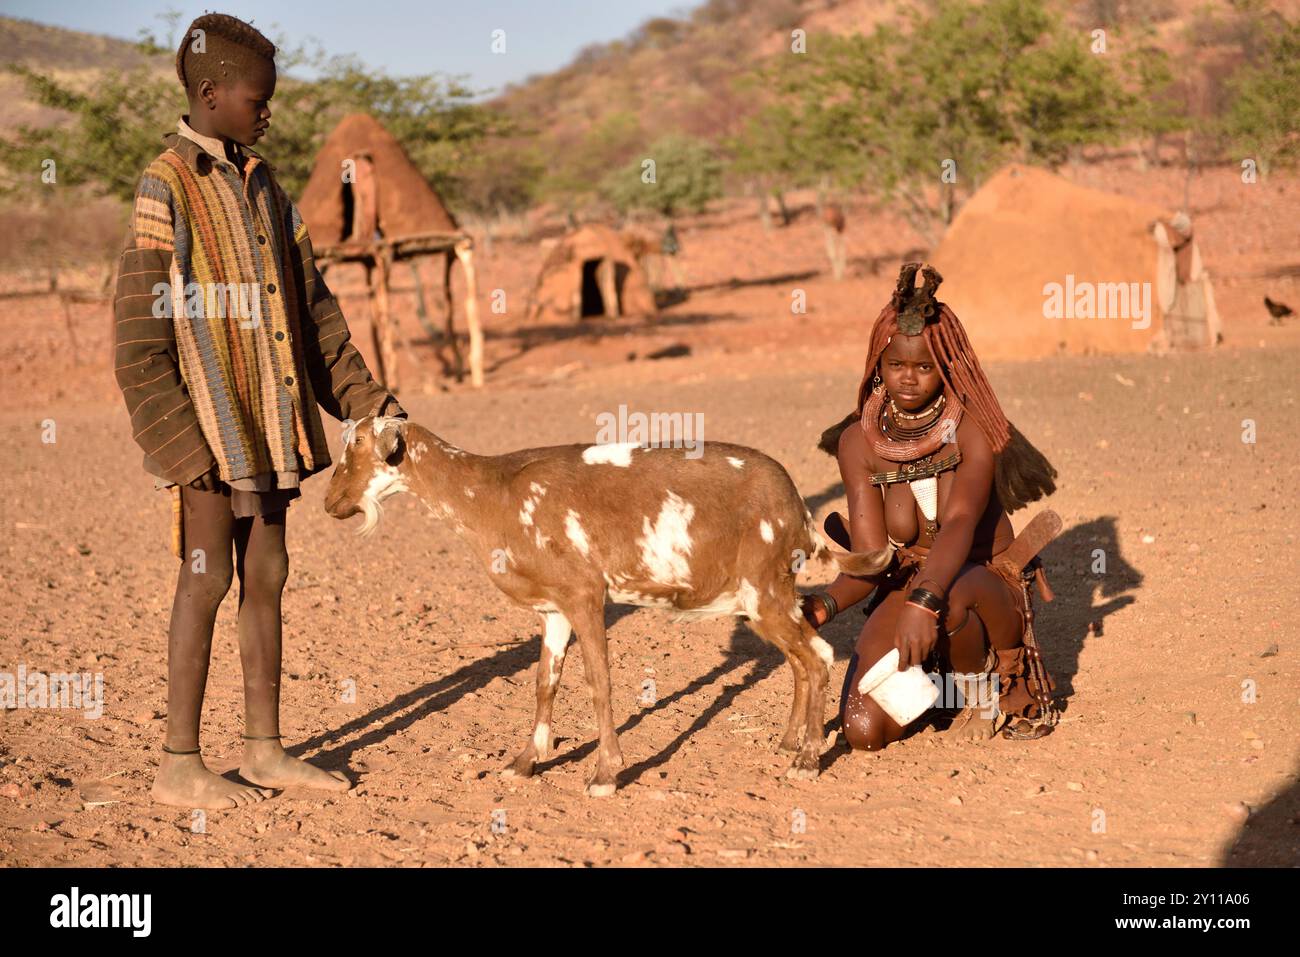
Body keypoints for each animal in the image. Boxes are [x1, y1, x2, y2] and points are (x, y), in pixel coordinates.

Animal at [322, 416, 883, 795]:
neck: (492, 495)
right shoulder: (553, 609)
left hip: (764, 589)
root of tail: (799, 510)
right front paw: (525, 761)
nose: (330, 503)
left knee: (817, 656)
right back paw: (789, 743)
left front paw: (605, 773)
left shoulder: (584, 595)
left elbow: (599, 681)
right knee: (799, 659)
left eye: (357, 447)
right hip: (765, 598)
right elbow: (545, 683)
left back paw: (806, 760)